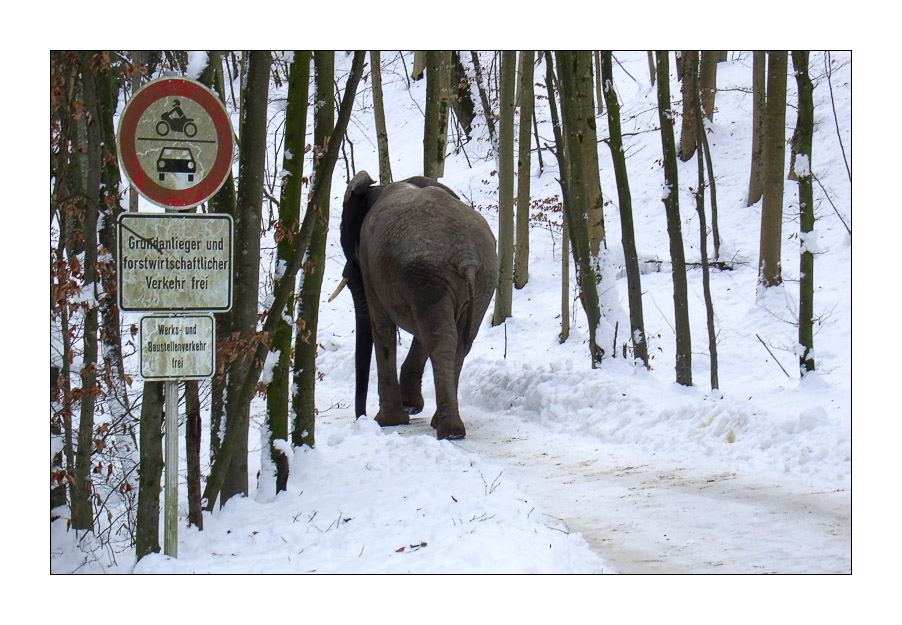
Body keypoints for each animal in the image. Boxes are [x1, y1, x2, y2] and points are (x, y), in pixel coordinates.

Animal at [334, 172, 502, 438]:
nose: (361, 417)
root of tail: (465, 254)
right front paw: (410, 407)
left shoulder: (372, 267)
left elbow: (380, 325)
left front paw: (389, 420)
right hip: (480, 276)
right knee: (457, 340)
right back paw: (445, 426)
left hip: (428, 273)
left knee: (440, 338)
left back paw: (449, 431)